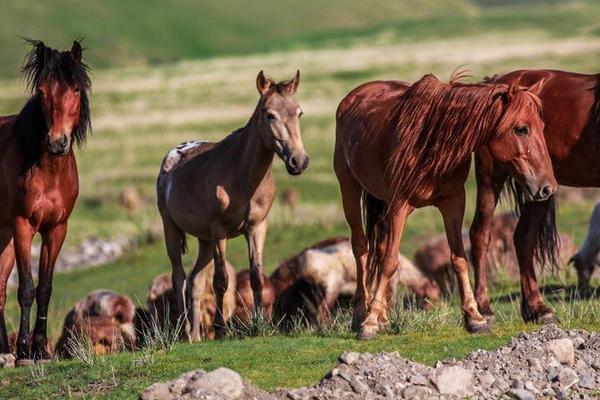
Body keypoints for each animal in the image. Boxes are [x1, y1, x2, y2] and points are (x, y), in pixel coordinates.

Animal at [0, 40, 90, 362]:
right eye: (41, 91)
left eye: (75, 89)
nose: (57, 142)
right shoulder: (23, 226)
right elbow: (26, 288)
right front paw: (25, 350)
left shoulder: (56, 229)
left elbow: (45, 288)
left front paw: (40, 348)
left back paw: (3, 350)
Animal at [157, 70, 308, 340]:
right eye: (270, 115)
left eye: (298, 112)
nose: (298, 161)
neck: (241, 174)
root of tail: (172, 156)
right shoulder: (220, 231)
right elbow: (221, 281)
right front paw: (221, 328)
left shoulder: (257, 227)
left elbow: (256, 276)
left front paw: (260, 324)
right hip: (172, 229)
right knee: (179, 277)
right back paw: (184, 331)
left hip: (204, 240)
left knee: (195, 281)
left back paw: (195, 335)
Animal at [336, 72, 556, 338]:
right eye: (521, 129)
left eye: (543, 127)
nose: (547, 187)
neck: (433, 141)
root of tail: (353, 97)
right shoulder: (399, 205)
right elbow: (390, 263)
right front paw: (368, 324)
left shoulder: (453, 203)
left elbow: (459, 259)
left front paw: (474, 317)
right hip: (349, 188)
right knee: (361, 248)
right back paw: (361, 314)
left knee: (378, 249)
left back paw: (383, 319)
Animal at [472, 69, 600, 324]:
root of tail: (495, 82)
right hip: (492, 180)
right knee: (481, 235)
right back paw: (485, 309)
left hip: (539, 190)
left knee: (523, 238)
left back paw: (537, 309)